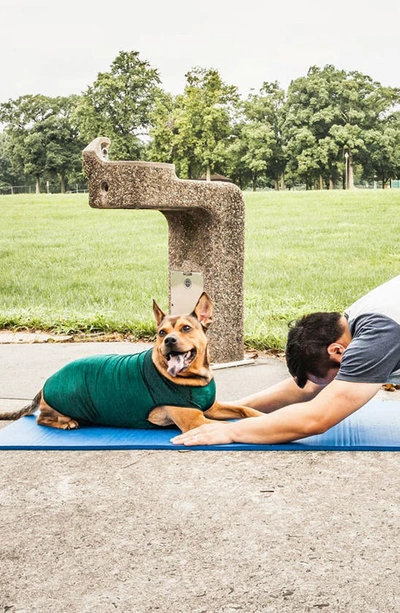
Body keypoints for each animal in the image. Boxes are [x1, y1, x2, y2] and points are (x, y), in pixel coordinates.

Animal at [1, 292, 264, 432]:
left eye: (186, 328)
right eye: (161, 332)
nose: (168, 340)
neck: (193, 379)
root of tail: (46, 383)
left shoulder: (212, 407)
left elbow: (246, 410)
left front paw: (260, 415)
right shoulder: (196, 420)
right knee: (42, 418)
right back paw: (66, 422)